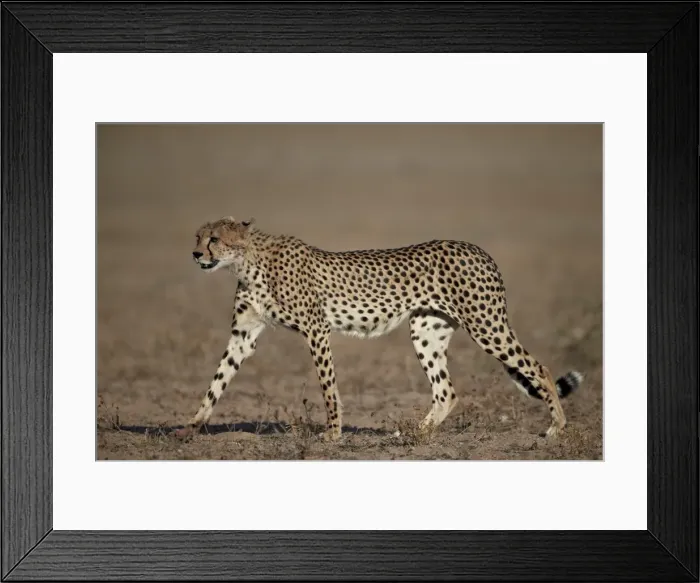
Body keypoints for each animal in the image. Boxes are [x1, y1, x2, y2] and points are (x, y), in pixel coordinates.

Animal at [175, 216, 583, 442]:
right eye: (197, 237)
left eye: (214, 239)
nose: (194, 255)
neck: (247, 262)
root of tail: (478, 249)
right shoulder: (243, 335)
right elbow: (216, 382)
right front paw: (191, 427)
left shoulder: (316, 329)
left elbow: (328, 387)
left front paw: (333, 433)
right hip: (426, 331)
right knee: (446, 391)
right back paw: (414, 434)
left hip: (486, 325)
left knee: (539, 367)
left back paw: (556, 427)